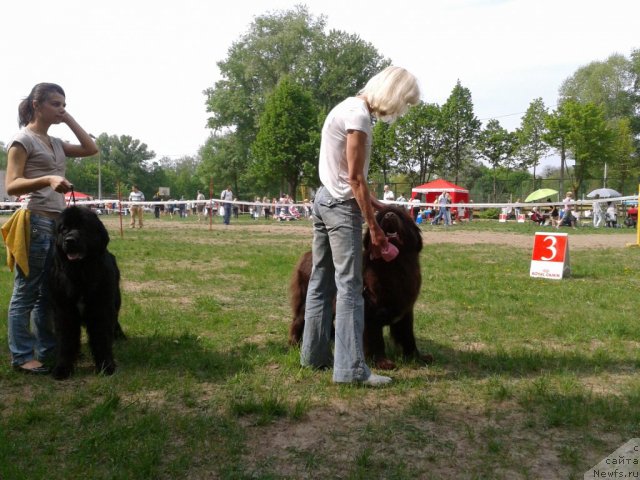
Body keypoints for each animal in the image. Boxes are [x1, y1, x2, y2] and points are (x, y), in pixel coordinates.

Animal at [49, 206, 123, 378]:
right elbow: (65, 340)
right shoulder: (63, 311)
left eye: (83, 227)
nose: (69, 240)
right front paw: (62, 368)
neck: (80, 274)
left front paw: (106, 366)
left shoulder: (101, 308)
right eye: (64, 229)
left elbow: (101, 338)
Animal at [288, 204, 430, 370]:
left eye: (400, 215)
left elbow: (408, 337)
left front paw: (418, 357)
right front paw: (382, 362)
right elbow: (376, 340)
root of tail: (306, 255)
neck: (394, 266)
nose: (389, 215)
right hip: (306, 299)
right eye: (380, 217)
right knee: (298, 320)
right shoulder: (370, 313)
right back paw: (294, 344)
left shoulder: (405, 312)